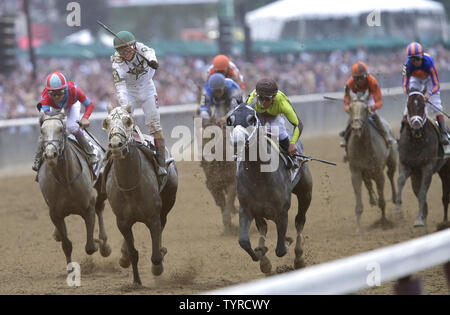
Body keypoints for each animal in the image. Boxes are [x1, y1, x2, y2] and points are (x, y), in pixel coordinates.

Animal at [37, 113, 110, 266]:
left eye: (61, 129)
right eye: (42, 131)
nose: (50, 154)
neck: (65, 179)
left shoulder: (88, 208)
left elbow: (90, 246)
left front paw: (99, 242)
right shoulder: (55, 214)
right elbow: (67, 245)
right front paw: (70, 268)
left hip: (102, 183)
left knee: (100, 206)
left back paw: (104, 243)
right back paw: (56, 234)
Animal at [102, 107, 178, 286]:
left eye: (128, 120)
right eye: (106, 122)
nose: (116, 145)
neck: (130, 187)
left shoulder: (153, 217)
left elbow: (156, 256)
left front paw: (159, 263)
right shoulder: (122, 222)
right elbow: (133, 253)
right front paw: (136, 281)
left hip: (167, 204)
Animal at [229, 103, 312, 274]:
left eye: (252, 119)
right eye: (230, 120)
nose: (237, 141)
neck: (259, 174)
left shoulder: (282, 210)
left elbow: (280, 249)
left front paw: (286, 242)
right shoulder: (247, 208)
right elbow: (244, 241)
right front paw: (262, 257)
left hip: (306, 193)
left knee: (300, 221)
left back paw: (299, 258)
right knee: (263, 227)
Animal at [344, 90, 398, 231]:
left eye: (365, 109)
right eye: (350, 108)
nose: (356, 128)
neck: (364, 147)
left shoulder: (378, 172)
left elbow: (382, 201)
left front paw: (384, 223)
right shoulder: (356, 172)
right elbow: (359, 204)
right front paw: (358, 228)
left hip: (392, 160)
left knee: (390, 174)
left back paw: (395, 199)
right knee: (368, 182)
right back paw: (372, 199)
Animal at [396, 90, 448, 228]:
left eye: (423, 105)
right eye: (408, 105)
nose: (416, 128)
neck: (416, 142)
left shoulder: (427, 168)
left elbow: (422, 192)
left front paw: (419, 219)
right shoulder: (406, 165)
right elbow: (401, 182)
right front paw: (398, 210)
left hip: (446, 170)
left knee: (445, 197)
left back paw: (445, 221)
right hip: (417, 174)